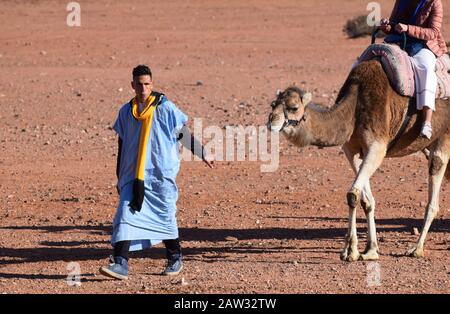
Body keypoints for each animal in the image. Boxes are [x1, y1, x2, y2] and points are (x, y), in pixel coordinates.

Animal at [268, 60, 450, 262]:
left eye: (293, 107)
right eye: (273, 104)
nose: (271, 122)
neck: (354, 108)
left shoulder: (377, 146)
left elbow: (352, 195)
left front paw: (351, 251)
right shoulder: (352, 150)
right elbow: (366, 200)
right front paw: (370, 250)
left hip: (444, 137)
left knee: (434, 184)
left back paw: (417, 249)